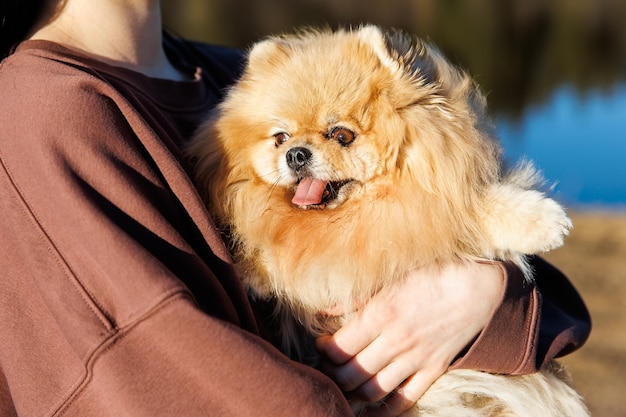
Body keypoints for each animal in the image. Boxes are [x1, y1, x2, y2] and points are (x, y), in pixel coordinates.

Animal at [188, 26, 588, 416]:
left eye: (342, 135)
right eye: (280, 137)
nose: (296, 154)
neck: (355, 216)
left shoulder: (442, 203)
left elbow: (478, 208)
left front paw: (544, 222)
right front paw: (250, 271)